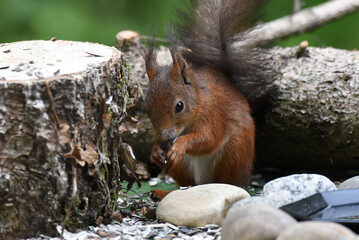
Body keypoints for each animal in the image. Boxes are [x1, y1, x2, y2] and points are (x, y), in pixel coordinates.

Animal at [143, 0, 272, 199]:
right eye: (146, 108)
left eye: (179, 106)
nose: (164, 138)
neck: (199, 100)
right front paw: (155, 151)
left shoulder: (214, 113)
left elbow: (208, 139)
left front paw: (180, 145)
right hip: (182, 168)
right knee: (187, 186)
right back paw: (162, 192)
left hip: (235, 151)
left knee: (229, 182)